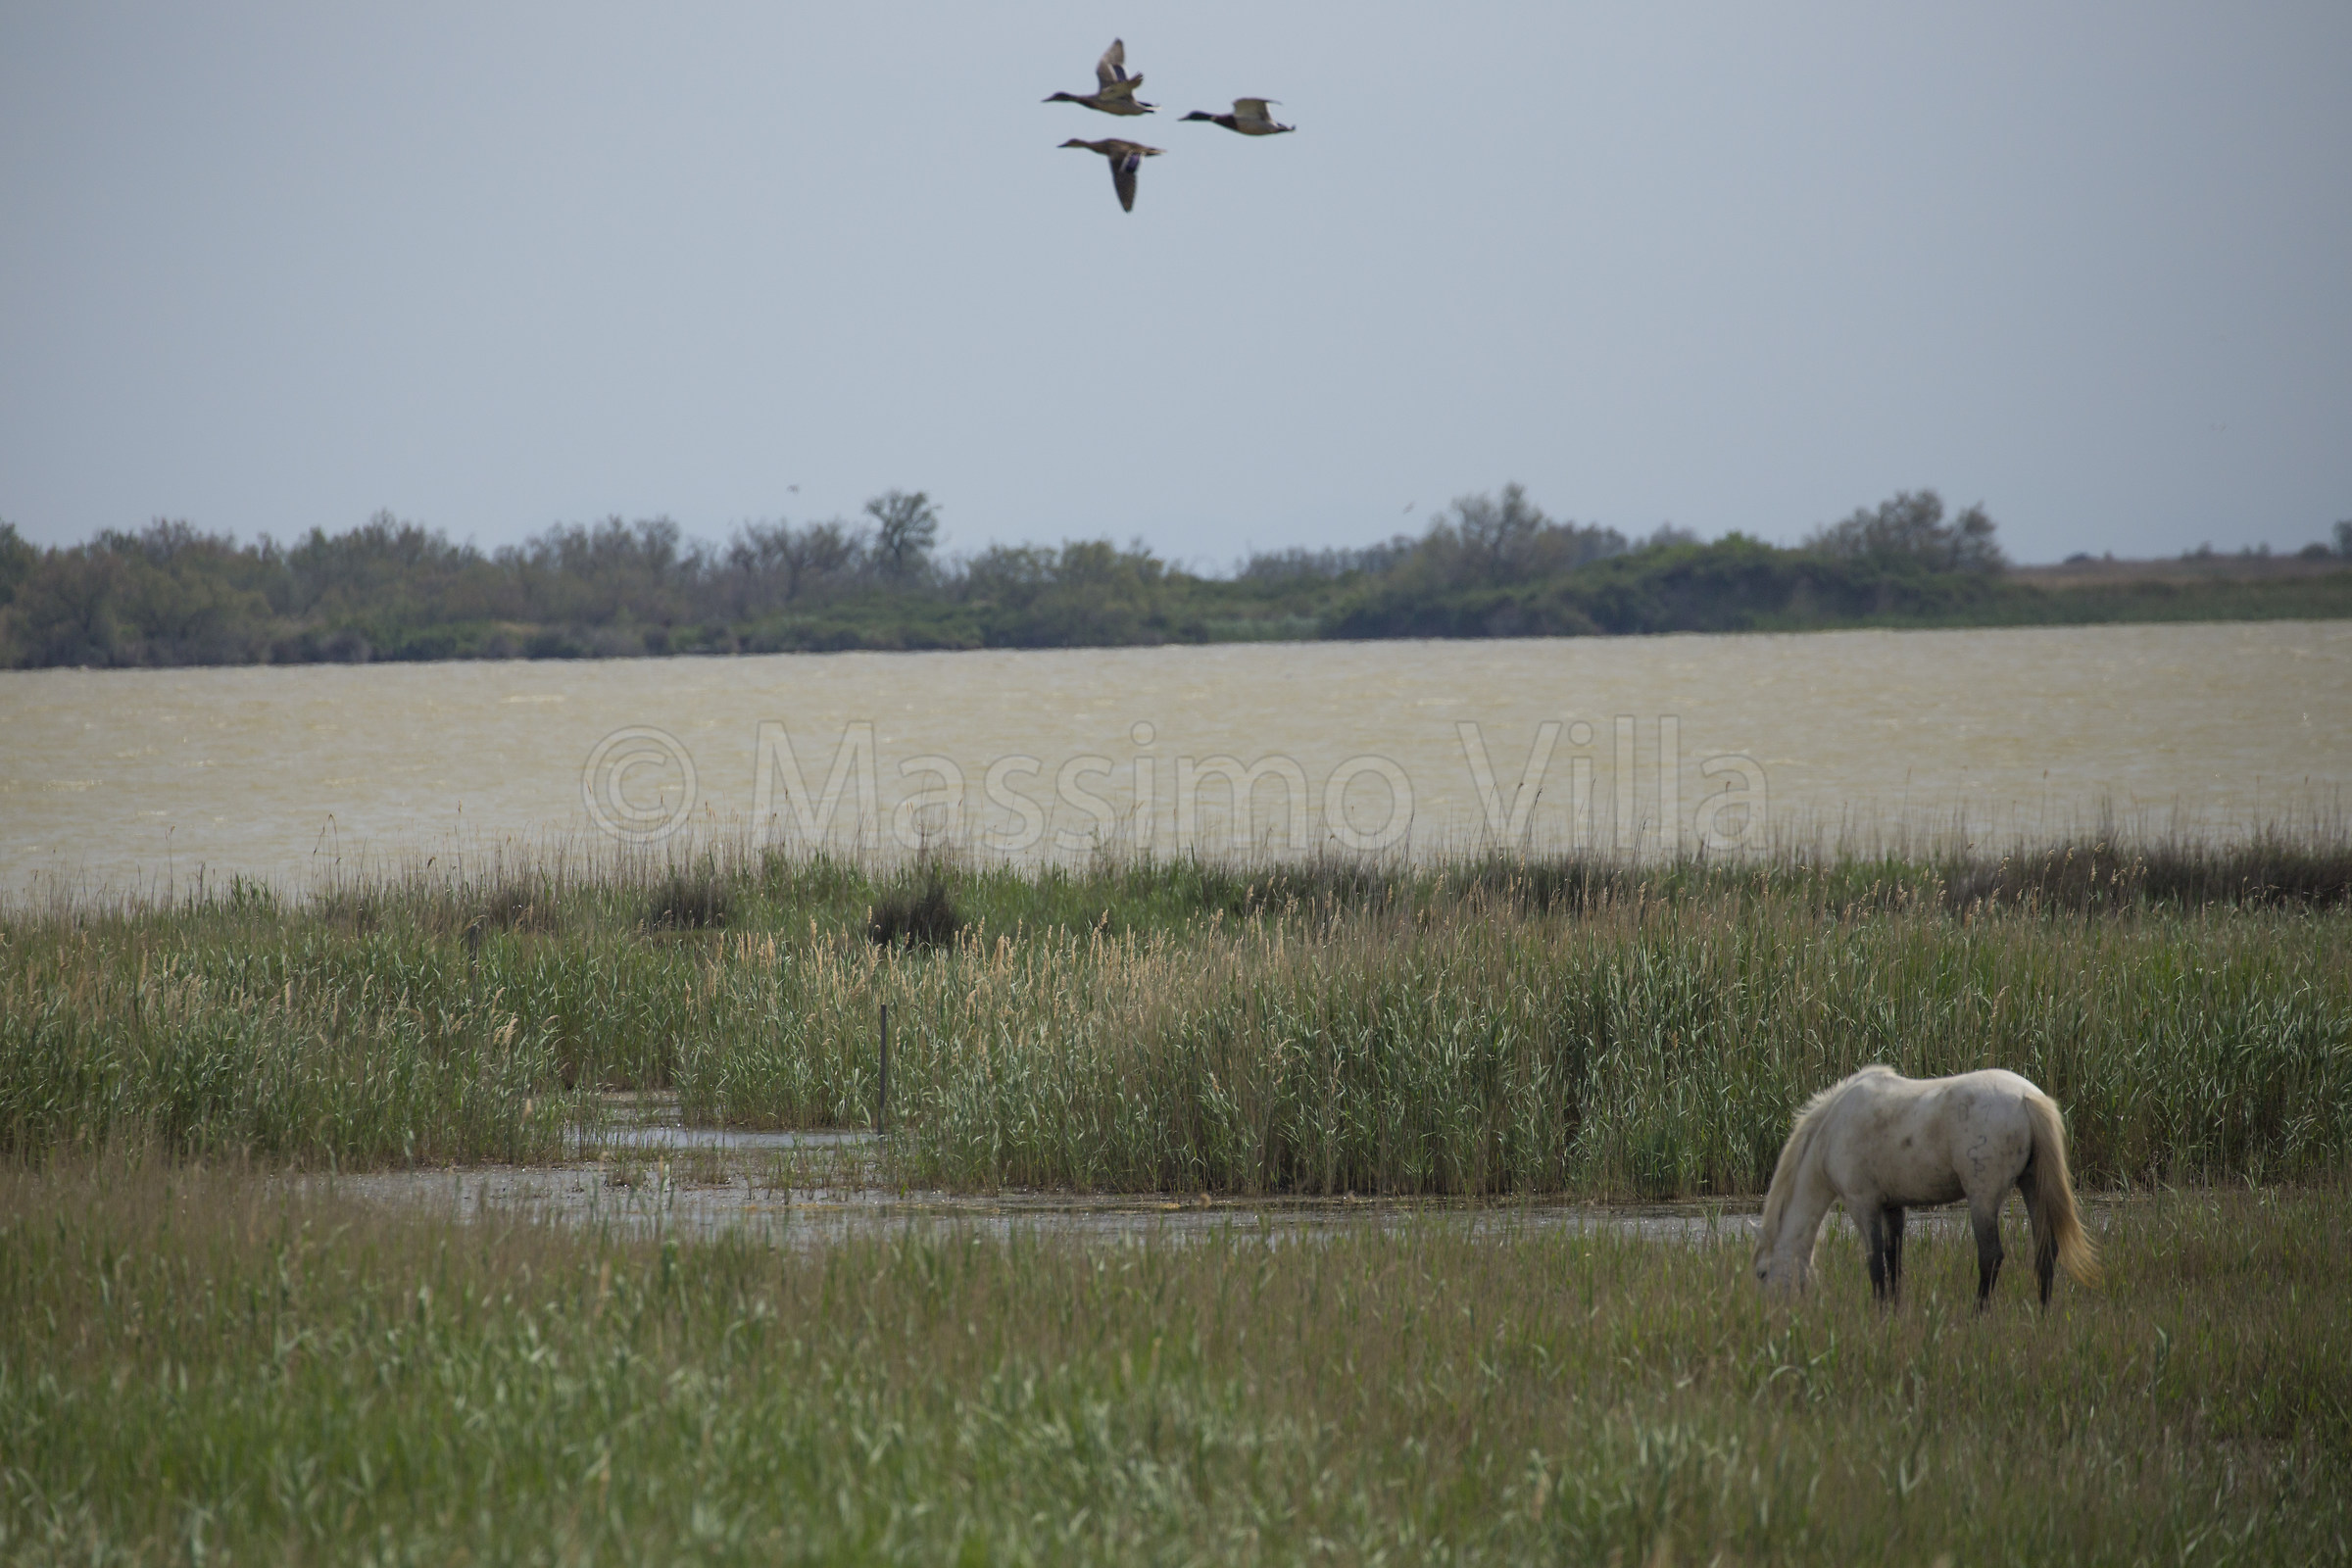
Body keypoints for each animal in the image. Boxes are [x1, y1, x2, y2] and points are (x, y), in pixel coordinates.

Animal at [1753, 1066, 2101, 1308]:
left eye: (1761, 1273)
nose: (1774, 1317)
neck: (1831, 1131)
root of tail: (2027, 1098)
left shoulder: (1862, 1204)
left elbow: (1876, 1265)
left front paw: (1879, 1318)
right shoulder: (1893, 1206)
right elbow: (1894, 1263)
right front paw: (1894, 1314)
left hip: (1982, 1196)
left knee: (1990, 1256)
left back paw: (1977, 1316)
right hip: (2032, 1185)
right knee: (2046, 1252)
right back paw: (2042, 1314)